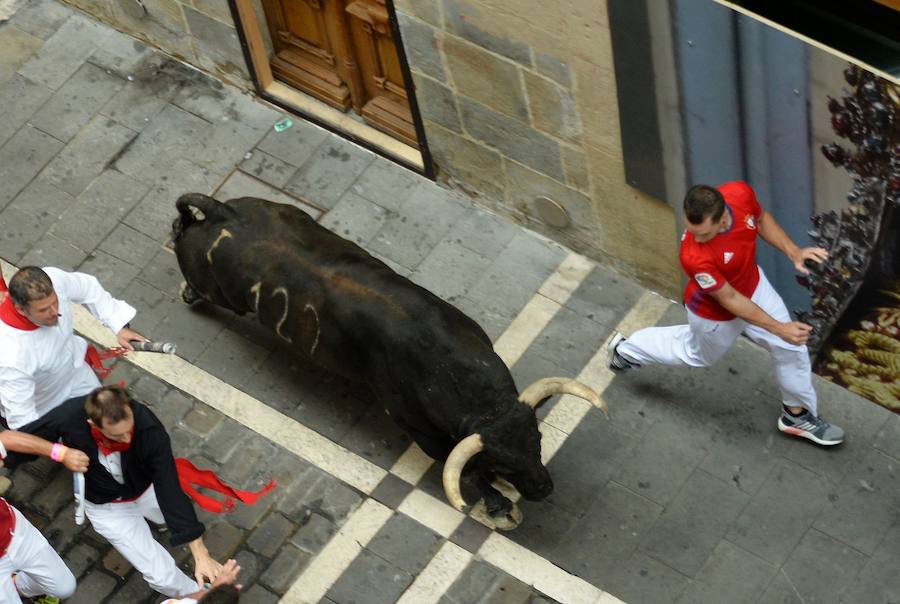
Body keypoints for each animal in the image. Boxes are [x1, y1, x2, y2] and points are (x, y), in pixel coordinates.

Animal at [171, 195, 604, 528]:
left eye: (538, 441)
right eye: (504, 463)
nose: (543, 489)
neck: (446, 365)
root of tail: (224, 212)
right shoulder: (419, 428)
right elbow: (462, 467)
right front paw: (498, 506)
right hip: (218, 291)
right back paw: (186, 287)